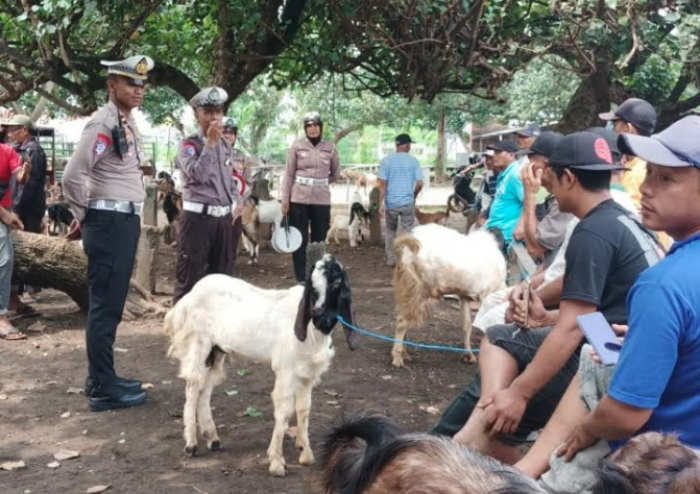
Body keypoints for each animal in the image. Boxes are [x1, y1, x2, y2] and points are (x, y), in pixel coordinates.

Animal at [164, 255, 360, 474]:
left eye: (337, 282)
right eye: (312, 284)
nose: (318, 312)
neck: (312, 329)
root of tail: (188, 297)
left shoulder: (307, 373)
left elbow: (304, 409)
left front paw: (305, 453)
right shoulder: (286, 369)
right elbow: (283, 411)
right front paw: (277, 462)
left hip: (216, 350)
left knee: (205, 388)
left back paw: (212, 438)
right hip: (199, 343)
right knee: (193, 386)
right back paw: (191, 444)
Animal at [392, 224, 506, 366]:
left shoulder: (464, 295)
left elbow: (467, 325)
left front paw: (469, 355)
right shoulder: (485, 296)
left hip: (407, 289)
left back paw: (404, 354)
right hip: (420, 290)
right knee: (402, 321)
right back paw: (397, 359)